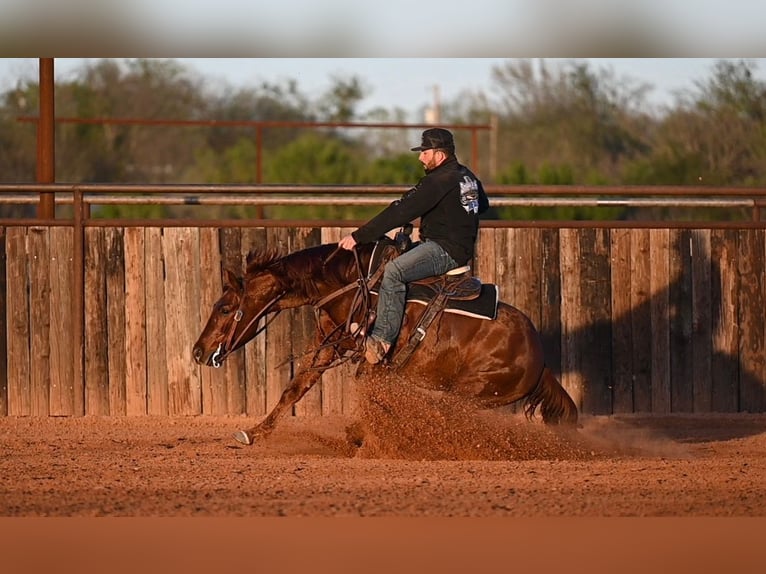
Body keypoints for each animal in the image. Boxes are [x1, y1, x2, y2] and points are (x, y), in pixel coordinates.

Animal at [192, 240, 578, 445]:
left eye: (224, 307)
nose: (198, 351)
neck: (350, 282)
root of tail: (540, 359)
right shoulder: (329, 345)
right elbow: (295, 389)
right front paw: (254, 433)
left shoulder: (376, 359)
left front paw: (359, 432)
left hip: (473, 390)